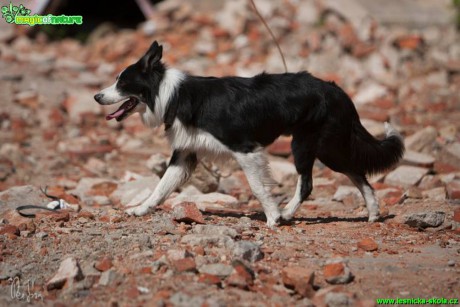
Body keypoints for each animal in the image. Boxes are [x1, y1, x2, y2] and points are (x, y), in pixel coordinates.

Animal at [93, 41, 402, 227]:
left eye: (122, 83)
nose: (96, 96)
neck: (173, 96)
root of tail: (338, 91)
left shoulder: (246, 149)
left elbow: (257, 187)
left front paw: (273, 218)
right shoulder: (185, 155)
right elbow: (161, 187)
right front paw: (140, 209)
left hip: (313, 145)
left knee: (314, 182)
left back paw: (288, 213)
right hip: (324, 148)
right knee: (356, 173)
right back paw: (372, 213)